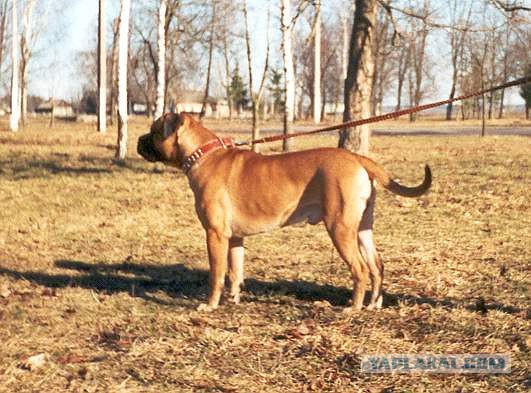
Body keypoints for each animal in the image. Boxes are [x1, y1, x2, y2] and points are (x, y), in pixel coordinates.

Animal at [137, 112, 432, 310]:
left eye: (153, 130)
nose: (139, 140)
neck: (203, 154)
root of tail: (358, 158)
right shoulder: (235, 238)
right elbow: (236, 271)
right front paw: (234, 299)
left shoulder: (215, 234)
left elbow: (217, 274)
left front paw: (210, 304)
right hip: (362, 228)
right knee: (376, 265)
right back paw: (373, 304)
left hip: (340, 227)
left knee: (360, 268)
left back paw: (354, 307)